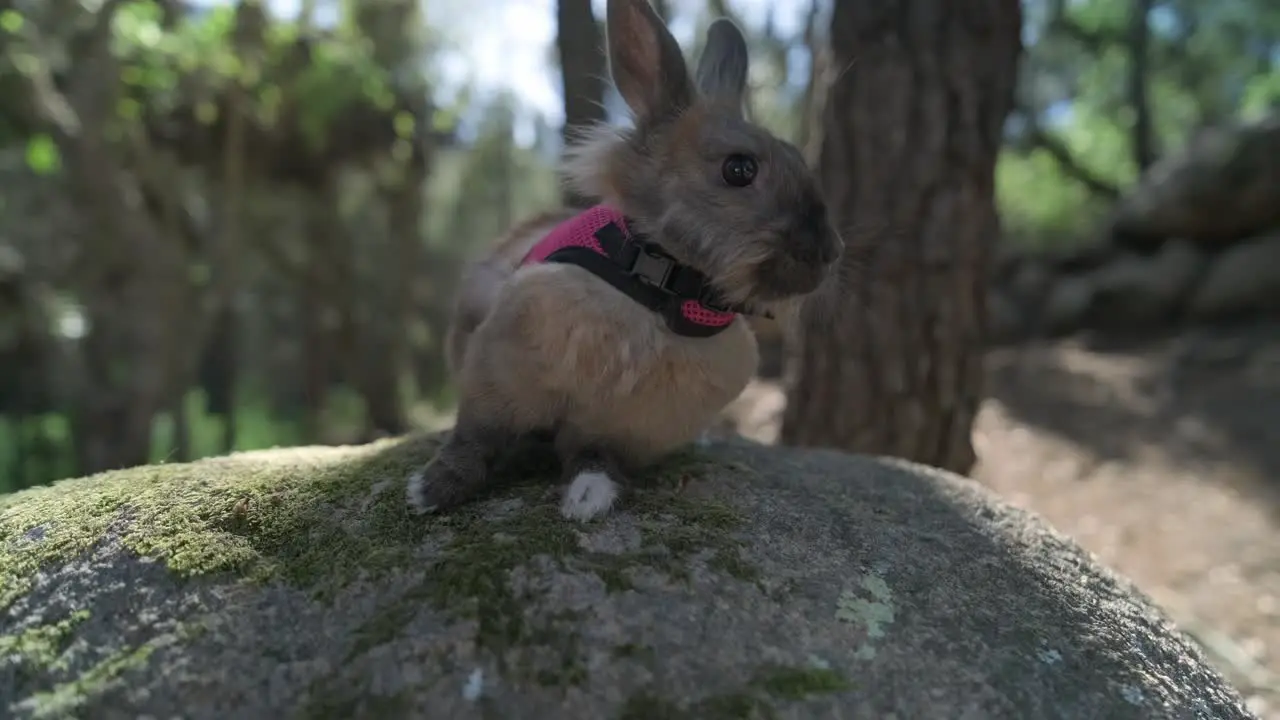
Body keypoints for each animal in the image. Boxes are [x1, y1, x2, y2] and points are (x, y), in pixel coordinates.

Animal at [409, 0, 844, 517]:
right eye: (739, 169)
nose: (829, 252)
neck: (659, 293)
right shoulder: (496, 378)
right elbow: (475, 441)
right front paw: (428, 491)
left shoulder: (623, 429)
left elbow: (594, 456)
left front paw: (588, 501)